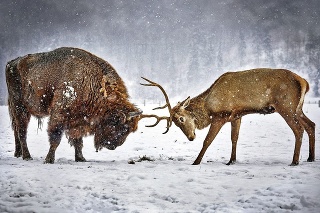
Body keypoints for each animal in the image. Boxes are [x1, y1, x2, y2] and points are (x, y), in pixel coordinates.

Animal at [5, 47, 141, 163]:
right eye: (119, 126)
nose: (113, 146)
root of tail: (11, 63)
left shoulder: (78, 119)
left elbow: (78, 140)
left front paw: (81, 158)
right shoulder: (59, 114)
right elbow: (56, 138)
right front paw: (49, 160)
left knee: (16, 129)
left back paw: (18, 154)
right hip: (19, 107)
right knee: (22, 131)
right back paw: (27, 156)